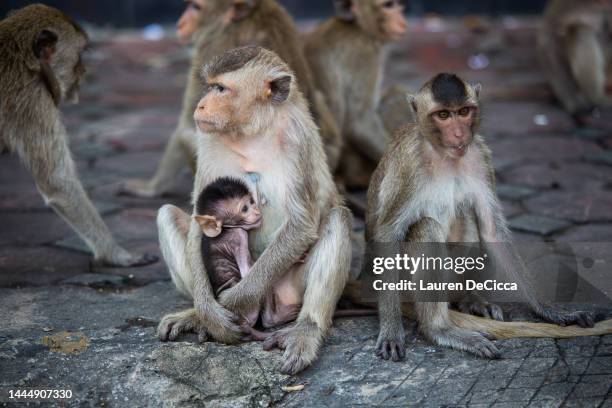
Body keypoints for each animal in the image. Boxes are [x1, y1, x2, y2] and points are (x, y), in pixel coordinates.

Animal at [155, 46, 352, 374]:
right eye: (210, 86)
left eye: (221, 89)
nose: (201, 104)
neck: (253, 130)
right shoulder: (207, 138)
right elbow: (198, 222)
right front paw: (208, 311)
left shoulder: (298, 139)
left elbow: (301, 224)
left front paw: (232, 301)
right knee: (166, 213)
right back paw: (196, 315)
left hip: (288, 290)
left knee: (338, 218)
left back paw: (307, 330)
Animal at [304, 0, 412, 190]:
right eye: (387, 5)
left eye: (398, 5)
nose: (402, 21)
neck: (359, 27)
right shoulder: (365, 54)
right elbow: (359, 122)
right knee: (396, 94)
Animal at [364, 72, 612, 360]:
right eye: (443, 115)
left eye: (463, 111)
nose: (459, 133)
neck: (443, 154)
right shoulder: (409, 165)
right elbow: (387, 234)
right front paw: (391, 330)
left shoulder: (479, 156)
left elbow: (492, 230)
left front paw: (551, 311)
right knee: (425, 227)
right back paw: (438, 329)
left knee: (467, 214)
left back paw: (468, 300)